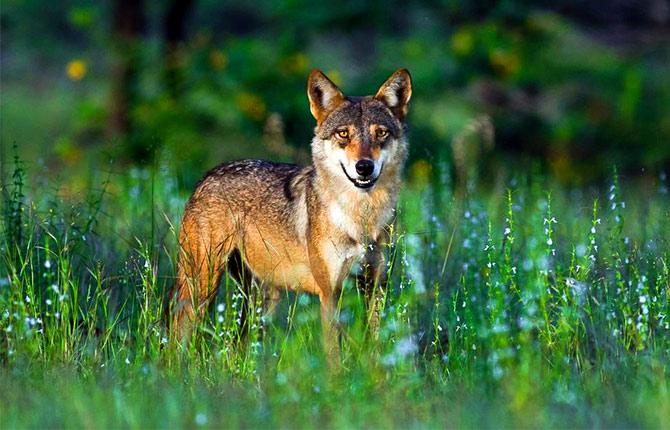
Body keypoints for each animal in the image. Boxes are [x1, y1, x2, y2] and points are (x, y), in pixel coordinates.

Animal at [172, 69, 414, 358]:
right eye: (343, 134)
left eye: (381, 133)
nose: (364, 167)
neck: (361, 218)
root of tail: (206, 176)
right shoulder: (329, 293)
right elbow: (334, 354)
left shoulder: (375, 286)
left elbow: (376, 345)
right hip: (202, 286)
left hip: (261, 299)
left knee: (237, 344)